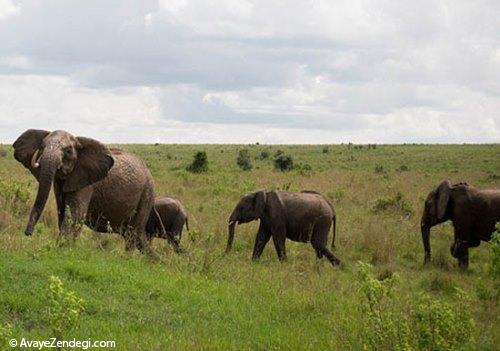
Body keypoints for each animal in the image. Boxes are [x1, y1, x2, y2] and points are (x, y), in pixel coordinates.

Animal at [12, 129, 181, 253]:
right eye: (41, 147)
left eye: (68, 151)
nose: (28, 233)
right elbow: (63, 213)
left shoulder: (86, 181)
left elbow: (75, 215)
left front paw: (62, 250)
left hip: (147, 193)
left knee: (134, 234)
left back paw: (128, 260)